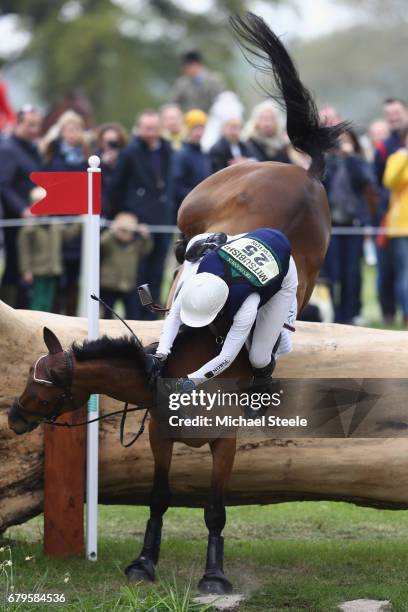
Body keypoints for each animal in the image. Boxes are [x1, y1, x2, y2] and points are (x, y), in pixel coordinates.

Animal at [7, 13, 346, 592]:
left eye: (44, 385)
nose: (12, 416)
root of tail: (302, 173)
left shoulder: (225, 445)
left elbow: (214, 508)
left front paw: (214, 574)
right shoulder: (159, 438)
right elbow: (160, 496)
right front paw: (145, 561)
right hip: (198, 200)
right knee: (184, 237)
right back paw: (188, 252)